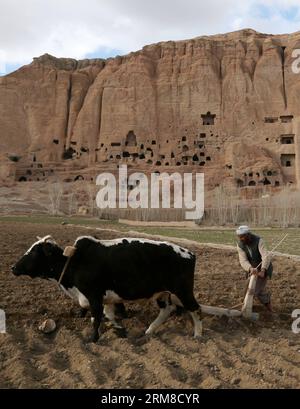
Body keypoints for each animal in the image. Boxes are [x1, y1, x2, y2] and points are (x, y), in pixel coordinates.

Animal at [12, 234, 203, 340]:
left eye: (34, 252)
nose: (13, 267)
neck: (74, 261)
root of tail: (189, 253)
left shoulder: (94, 296)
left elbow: (96, 318)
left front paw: (93, 339)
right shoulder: (106, 298)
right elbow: (108, 315)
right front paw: (119, 328)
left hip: (183, 291)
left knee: (196, 309)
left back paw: (198, 335)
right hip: (162, 293)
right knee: (166, 310)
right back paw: (149, 331)